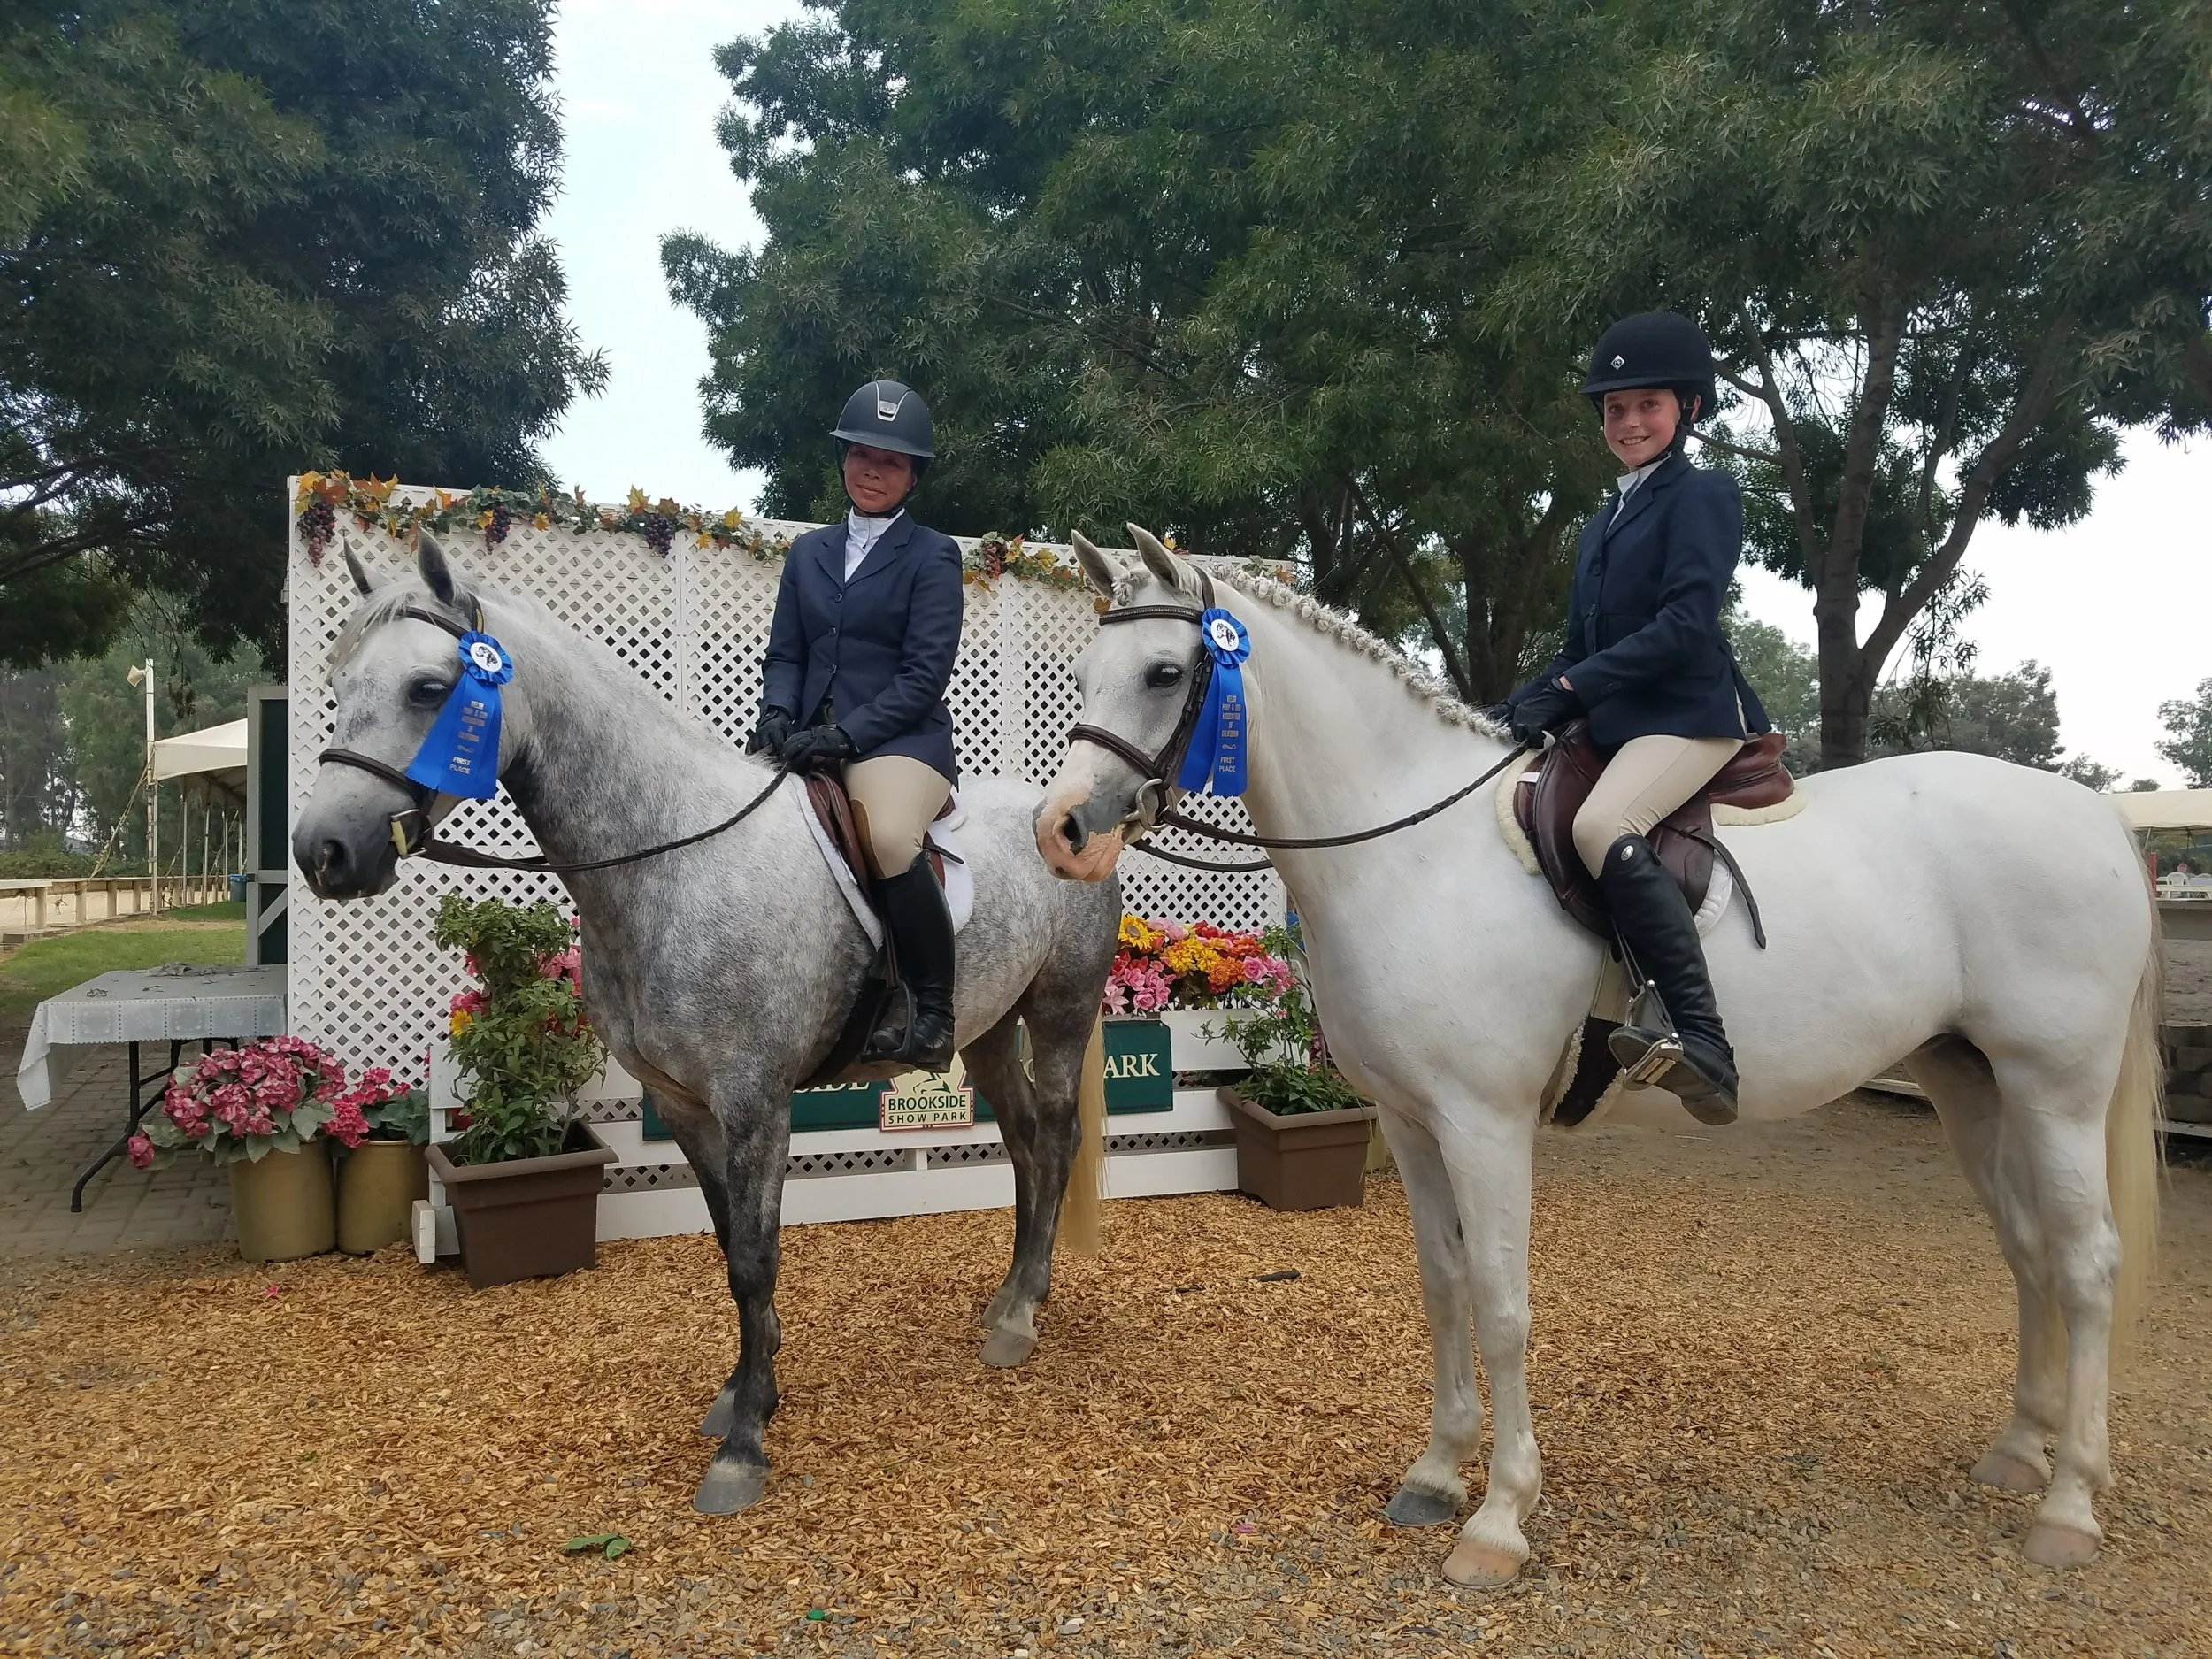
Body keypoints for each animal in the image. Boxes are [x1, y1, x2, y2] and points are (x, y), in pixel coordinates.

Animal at [294, 534, 1122, 1516]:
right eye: (340, 678)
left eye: (429, 689)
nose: (322, 853)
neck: (673, 857)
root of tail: (1067, 816)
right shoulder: (685, 1104)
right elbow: (729, 1243)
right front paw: (739, 1391)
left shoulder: (755, 1101)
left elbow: (755, 1259)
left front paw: (745, 1445)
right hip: (986, 1029)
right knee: (1028, 1141)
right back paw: (1009, 1299)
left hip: (1059, 1010)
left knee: (1057, 1136)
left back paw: (1023, 1314)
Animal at [1034, 526, 2161, 1588]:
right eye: (1082, 672)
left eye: (1165, 674)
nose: (1063, 830)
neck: (1413, 851)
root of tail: (2093, 811)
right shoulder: (1410, 1122)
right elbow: (1441, 1287)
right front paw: (1435, 1476)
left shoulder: (1483, 1124)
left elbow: (1499, 1302)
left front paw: (1498, 1520)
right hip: (1969, 1080)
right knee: (2028, 1249)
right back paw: (2018, 1452)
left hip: (2054, 1086)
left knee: (2088, 1262)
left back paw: (2067, 1505)